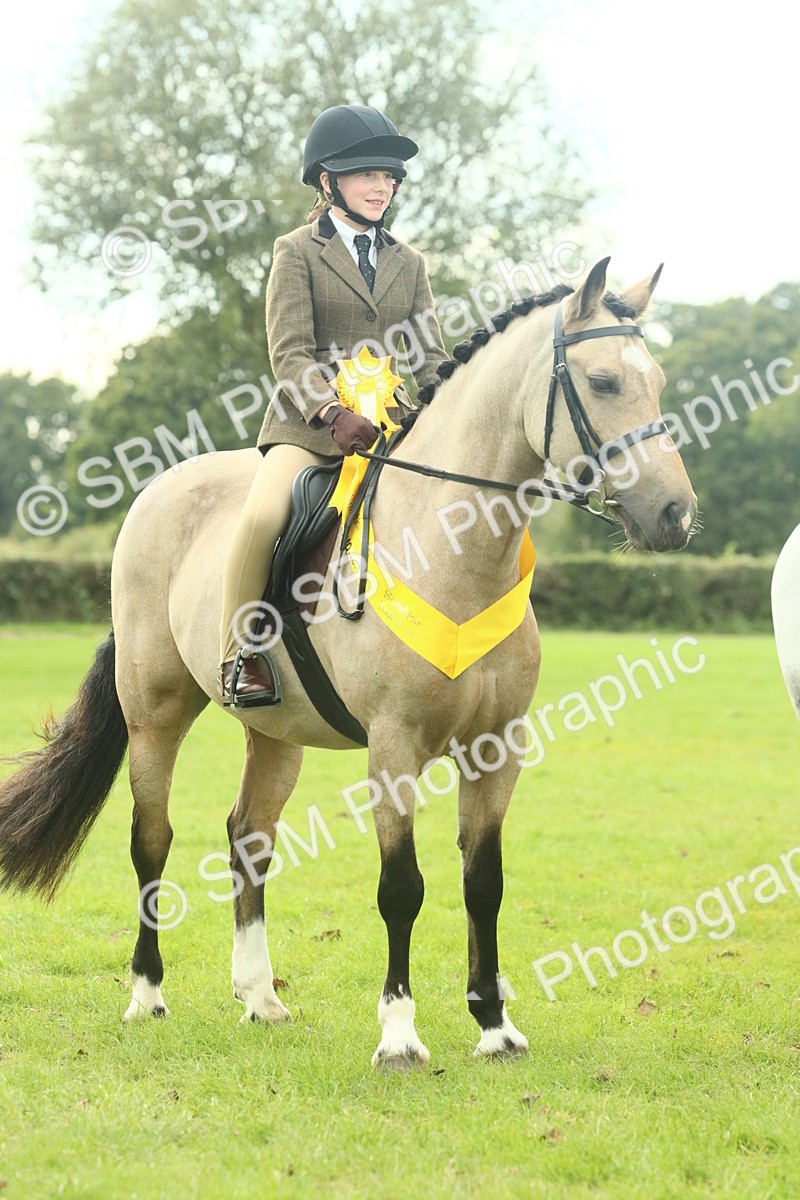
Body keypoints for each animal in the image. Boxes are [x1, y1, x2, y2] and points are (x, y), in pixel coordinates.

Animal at [0, 258, 697, 1070]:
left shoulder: (497, 748)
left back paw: (261, 998)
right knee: (152, 840)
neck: (456, 547)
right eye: (605, 382)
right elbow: (402, 887)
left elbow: (483, 881)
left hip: (276, 734)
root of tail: (155, 492)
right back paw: (146, 994)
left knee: (249, 838)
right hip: (156, 715)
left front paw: (494, 1025)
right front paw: (398, 1034)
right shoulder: (394, 746)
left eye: (657, 380)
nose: (675, 515)